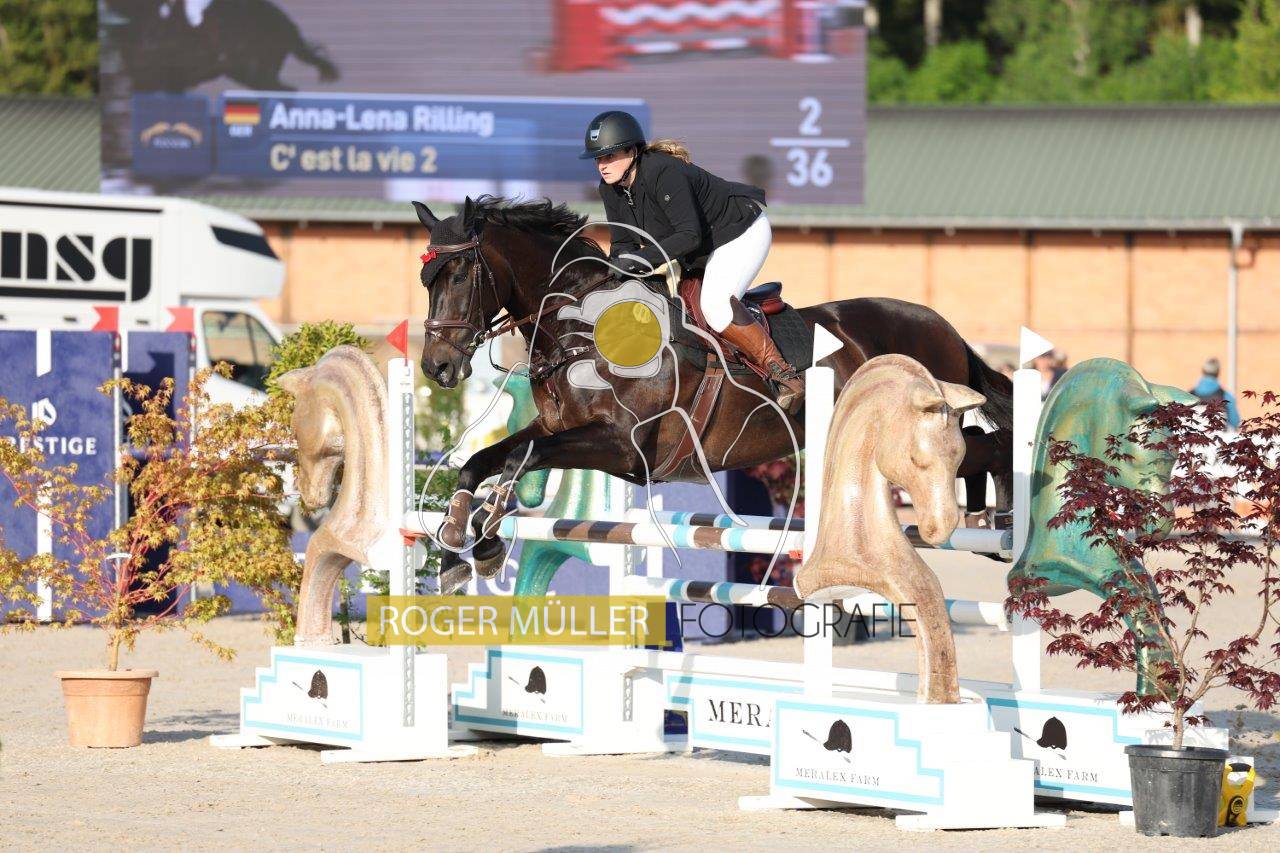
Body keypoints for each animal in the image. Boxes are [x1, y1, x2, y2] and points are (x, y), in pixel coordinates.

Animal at [412, 196, 1013, 594]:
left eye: (460, 274)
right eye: (427, 280)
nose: (436, 366)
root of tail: (942, 326)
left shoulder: (622, 448)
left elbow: (517, 457)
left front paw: (483, 540)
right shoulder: (560, 429)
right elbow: (488, 459)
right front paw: (459, 547)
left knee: (985, 449)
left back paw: (1001, 522)